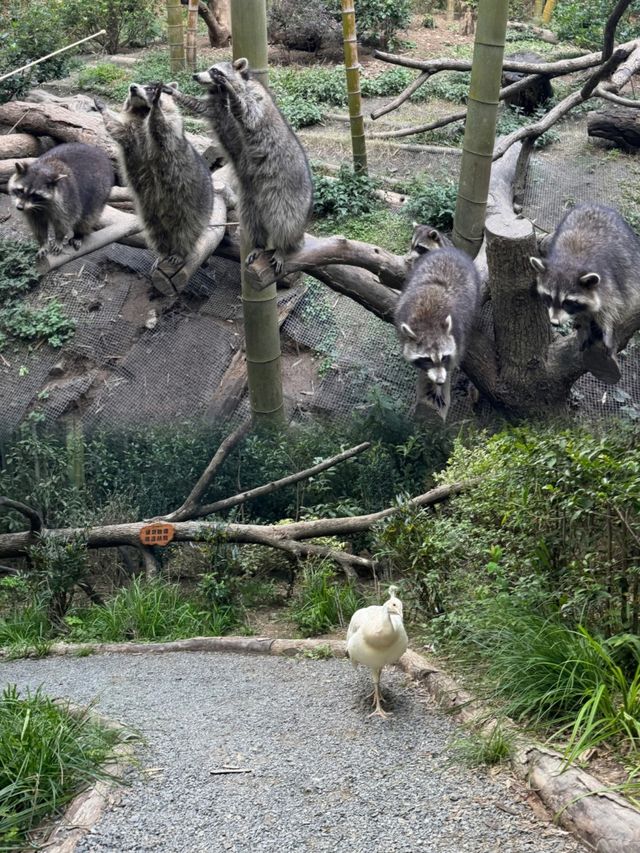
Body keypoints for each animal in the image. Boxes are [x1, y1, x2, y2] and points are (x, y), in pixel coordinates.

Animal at [95, 82, 214, 270]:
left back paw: (179, 253)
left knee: (187, 232)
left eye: (149, 88)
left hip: (194, 208)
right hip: (149, 214)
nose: (132, 87)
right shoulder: (130, 133)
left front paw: (156, 105)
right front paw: (103, 109)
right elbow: (117, 129)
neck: (142, 111)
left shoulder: (170, 131)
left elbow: (161, 127)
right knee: (157, 233)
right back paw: (164, 252)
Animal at [164, 56, 314, 276]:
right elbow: (199, 105)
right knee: (252, 221)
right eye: (207, 69)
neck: (220, 93)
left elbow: (245, 112)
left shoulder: (255, 99)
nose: (195, 75)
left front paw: (233, 95)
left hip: (289, 194)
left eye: (214, 70)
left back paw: (282, 248)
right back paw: (259, 245)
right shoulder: (215, 107)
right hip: (250, 200)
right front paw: (176, 93)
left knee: (284, 221)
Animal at [396, 246, 480, 420]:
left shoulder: (458, 334)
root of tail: (449, 250)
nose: (440, 381)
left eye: (444, 357)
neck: (429, 326)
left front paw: (440, 385)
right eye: (427, 359)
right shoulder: (402, 321)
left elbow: (453, 361)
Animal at [528, 203, 640, 356]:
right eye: (549, 298)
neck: (569, 262)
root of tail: (594, 205)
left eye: (568, 302)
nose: (555, 322)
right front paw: (584, 322)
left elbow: (611, 305)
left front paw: (606, 326)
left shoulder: (608, 280)